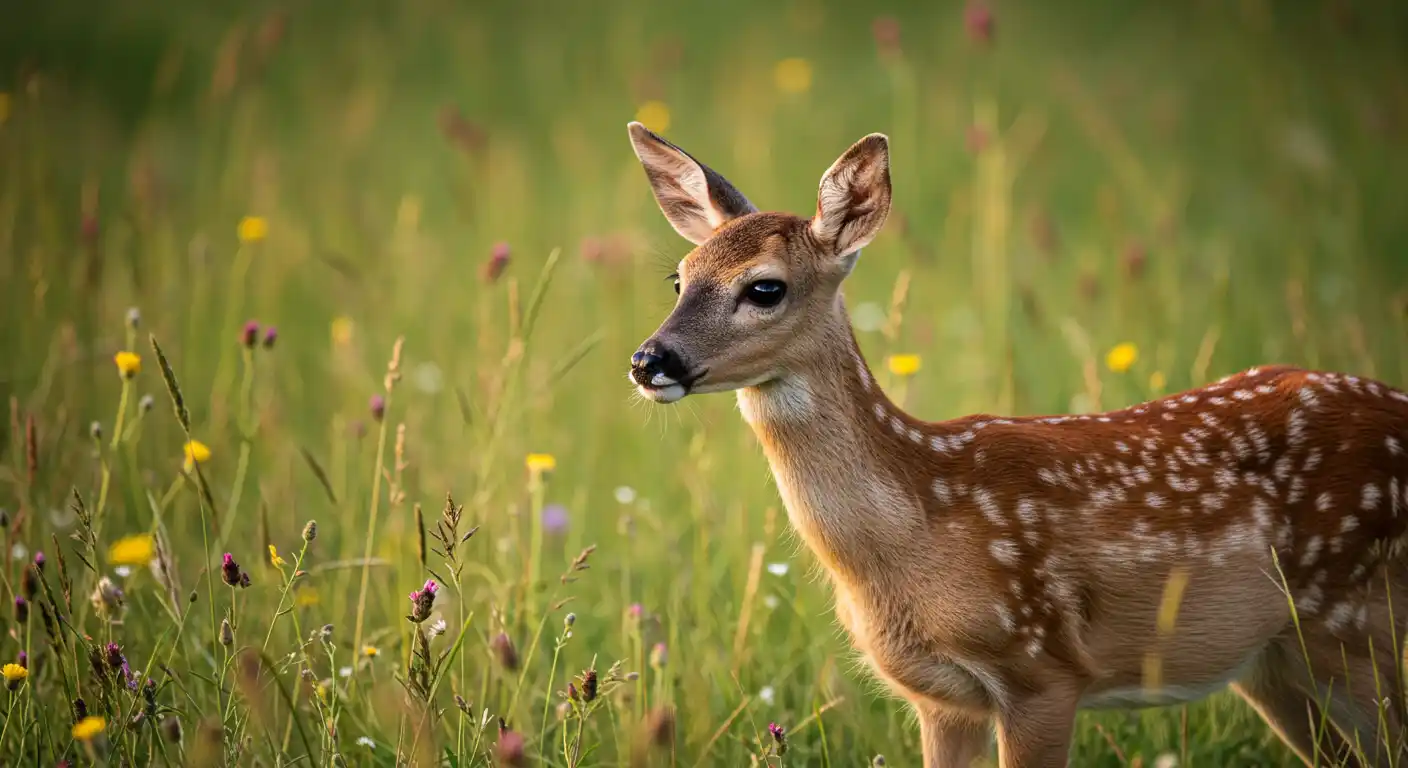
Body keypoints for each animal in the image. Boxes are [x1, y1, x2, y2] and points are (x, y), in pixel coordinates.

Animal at [622, 121, 1408, 767]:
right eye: (678, 278)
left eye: (765, 288)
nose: (649, 360)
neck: (915, 532)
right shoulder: (939, 698)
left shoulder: (1042, 670)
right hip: (1279, 663)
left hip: (1360, 626)